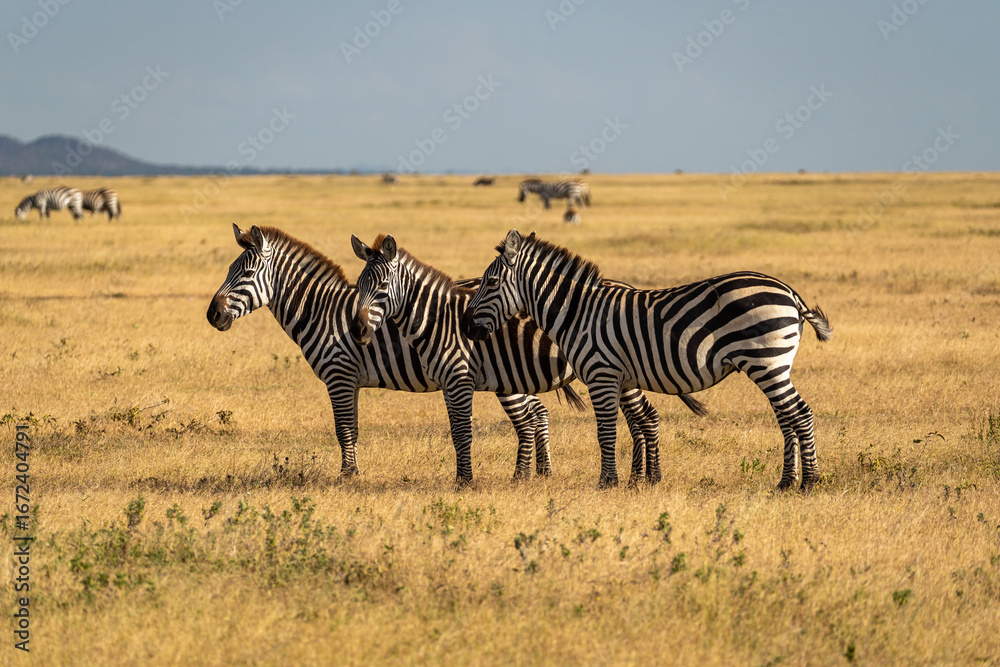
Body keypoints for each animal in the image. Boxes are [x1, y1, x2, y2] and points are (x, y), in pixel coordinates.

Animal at [207, 224, 656, 481]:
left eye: (245, 273)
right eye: (228, 270)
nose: (212, 315)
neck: (324, 312)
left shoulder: (339, 375)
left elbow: (344, 429)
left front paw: (348, 477)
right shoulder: (351, 381)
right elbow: (352, 428)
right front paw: (353, 474)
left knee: (636, 416)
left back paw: (637, 477)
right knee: (547, 417)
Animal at [349, 234, 706, 486]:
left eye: (382, 286)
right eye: (359, 285)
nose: (357, 330)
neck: (438, 320)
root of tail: (626, 286)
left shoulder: (459, 380)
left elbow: (461, 431)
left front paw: (464, 483)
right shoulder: (450, 385)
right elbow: (456, 430)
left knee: (643, 416)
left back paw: (645, 478)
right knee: (638, 418)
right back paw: (637, 478)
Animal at [463, 230, 833, 490]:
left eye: (490, 282)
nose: (466, 326)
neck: (577, 313)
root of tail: (790, 292)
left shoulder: (601, 374)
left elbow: (606, 431)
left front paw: (606, 483)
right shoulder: (621, 377)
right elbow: (630, 426)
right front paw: (634, 480)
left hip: (766, 362)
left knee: (799, 414)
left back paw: (808, 482)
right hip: (773, 366)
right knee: (788, 417)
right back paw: (787, 482)